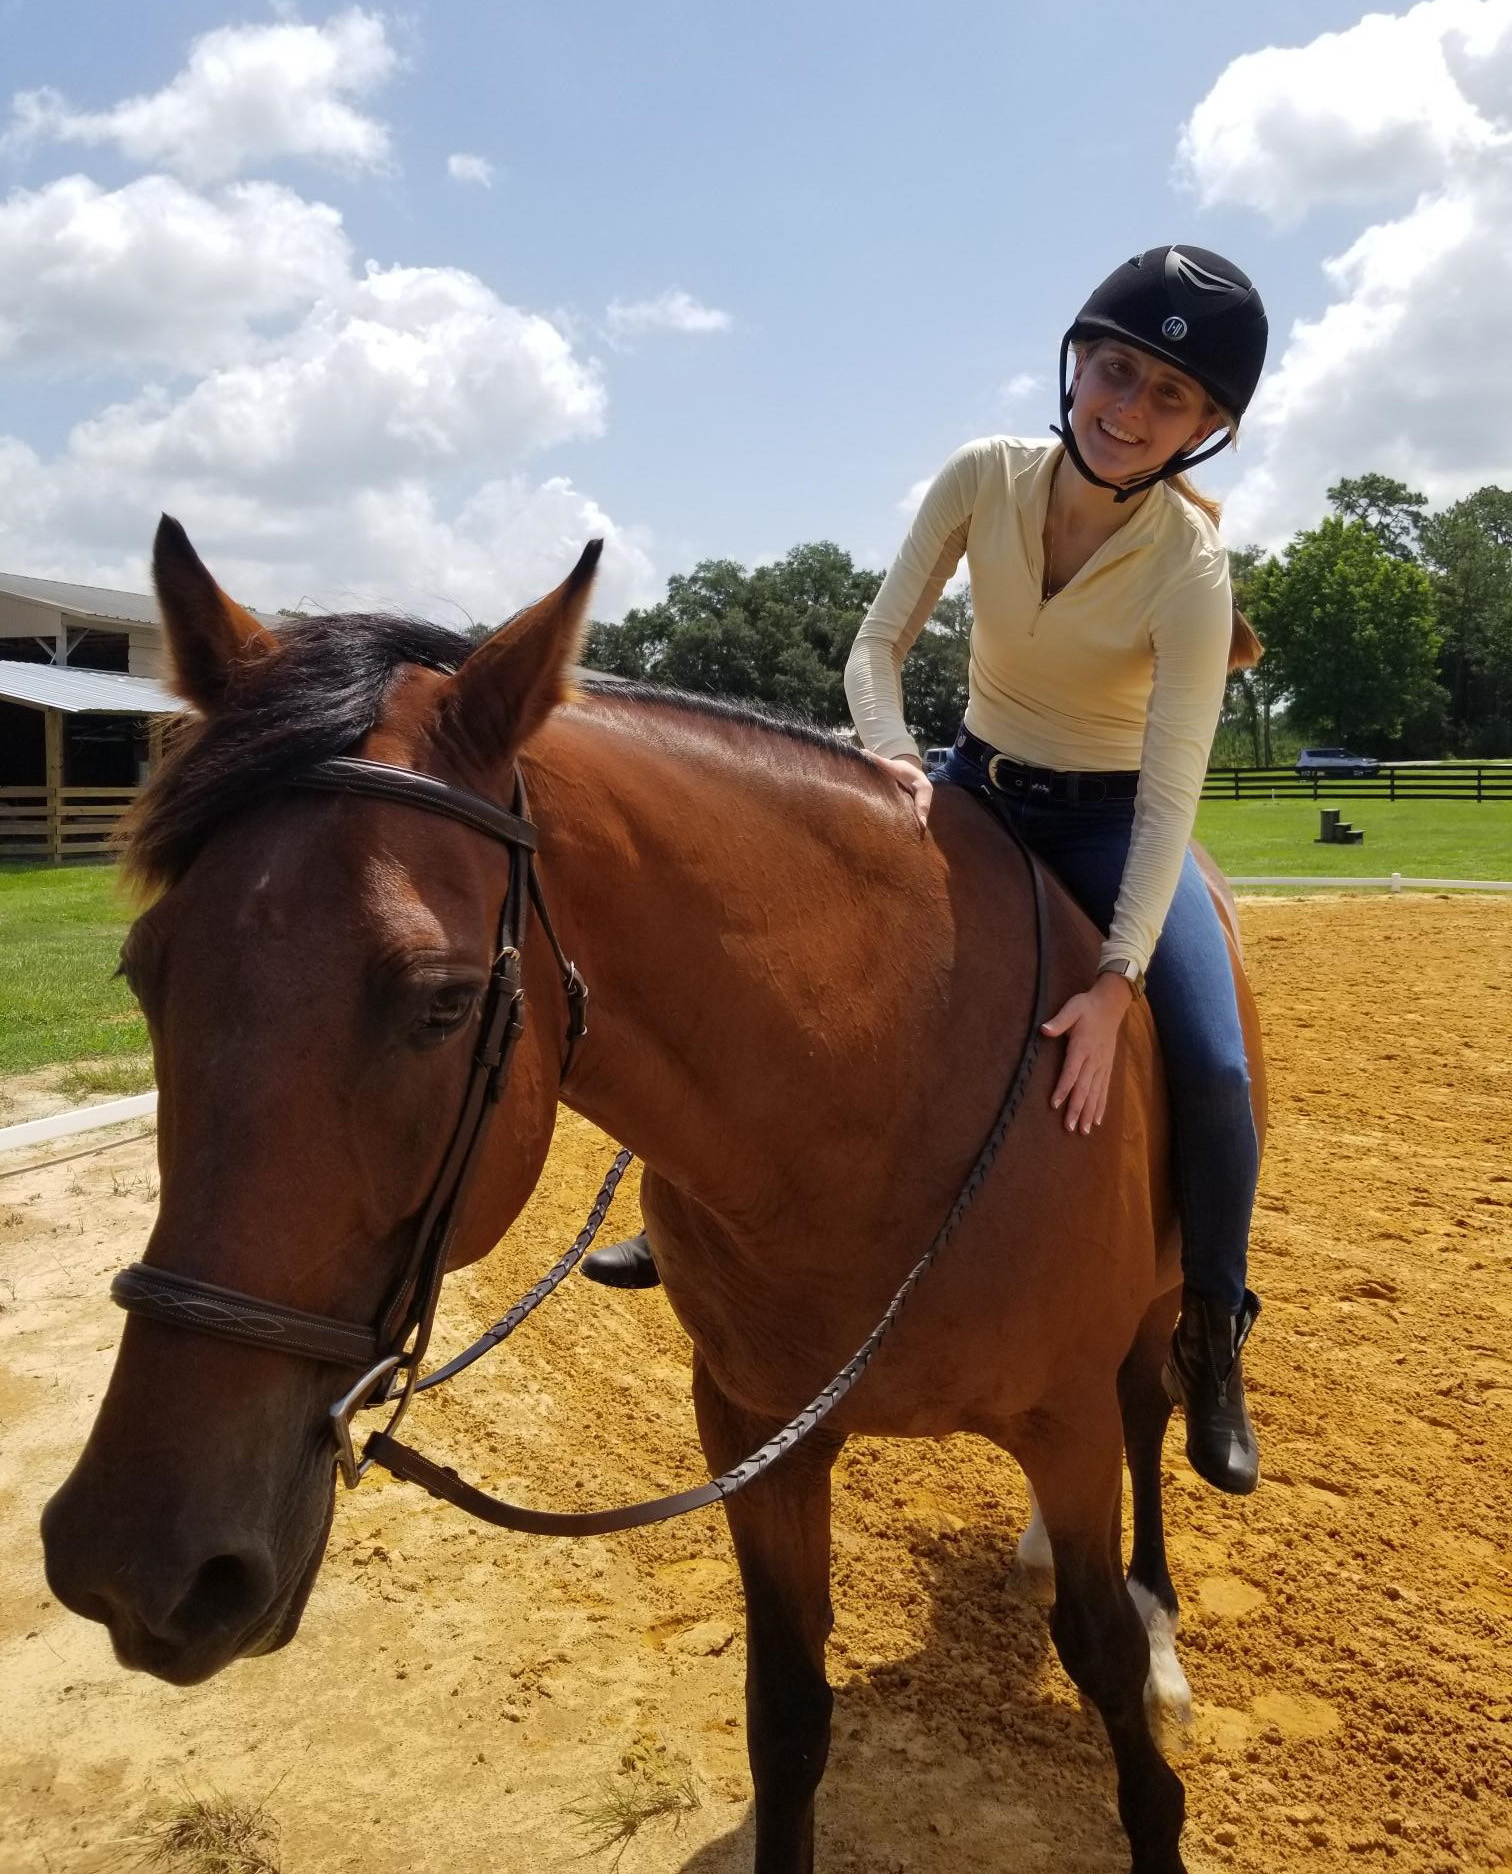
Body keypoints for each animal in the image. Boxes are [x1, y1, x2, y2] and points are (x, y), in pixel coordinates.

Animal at [42, 520, 1265, 1874]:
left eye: (443, 1002)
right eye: (144, 972)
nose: (131, 1562)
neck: (884, 1088)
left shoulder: (1062, 1419)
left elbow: (1104, 1665)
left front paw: (1144, 1689)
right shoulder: (752, 1428)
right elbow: (786, 1713)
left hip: (1150, 1316)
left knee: (1153, 1409)